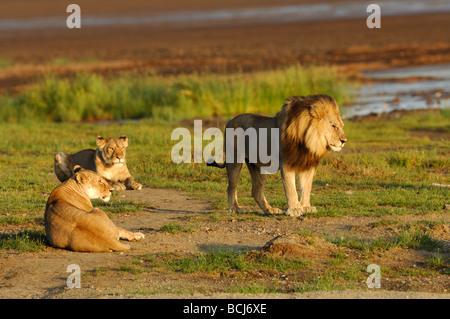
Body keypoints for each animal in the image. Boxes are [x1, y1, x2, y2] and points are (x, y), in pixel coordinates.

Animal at [207, 94, 348, 216]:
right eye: (333, 126)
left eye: (342, 126)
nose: (344, 141)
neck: (308, 142)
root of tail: (229, 121)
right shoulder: (286, 162)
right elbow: (290, 188)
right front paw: (295, 209)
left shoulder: (307, 164)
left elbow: (306, 187)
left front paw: (306, 207)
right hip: (234, 160)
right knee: (231, 187)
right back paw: (235, 209)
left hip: (258, 166)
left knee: (257, 191)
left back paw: (270, 210)